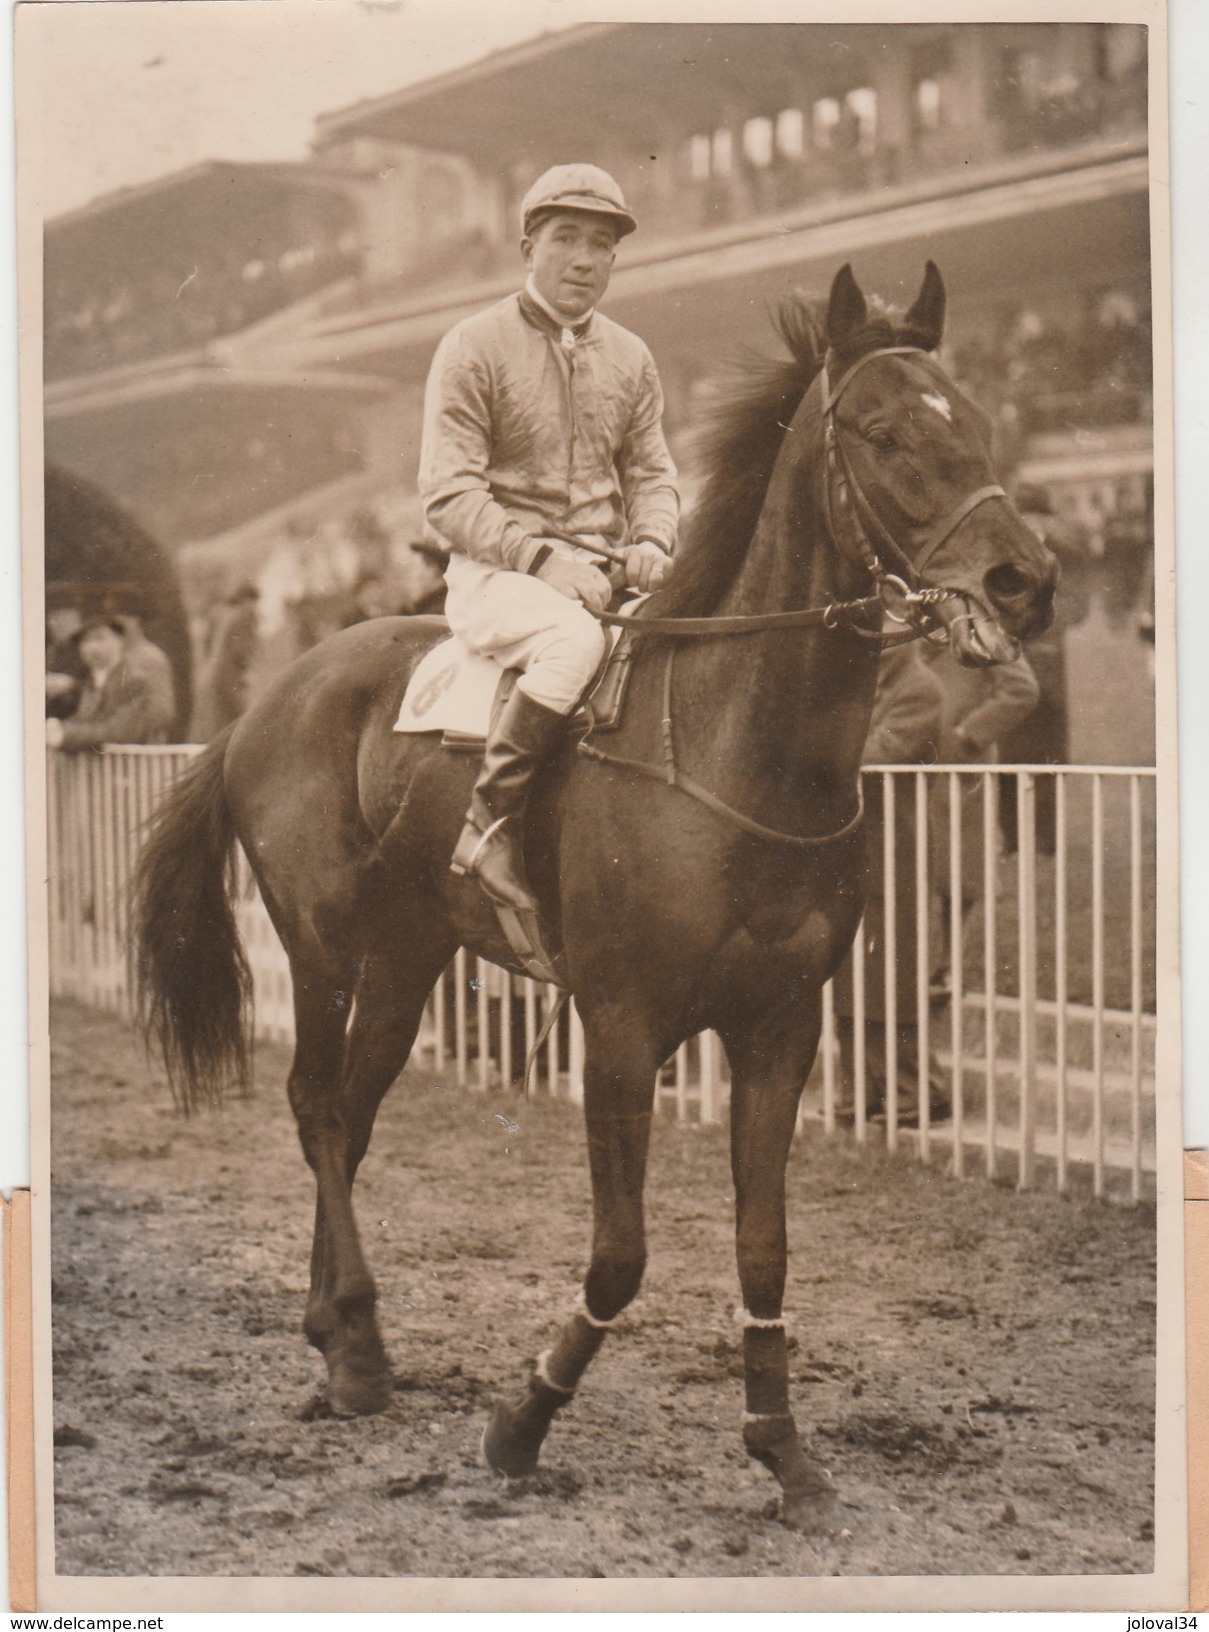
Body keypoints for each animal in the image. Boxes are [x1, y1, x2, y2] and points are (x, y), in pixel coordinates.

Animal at [137, 264, 1050, 1527]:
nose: (1026, 581)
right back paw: (359, 1347)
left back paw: (333, 1332)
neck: (735, 751)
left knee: (353, 1114)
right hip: (321, 943)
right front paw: (521, 1424)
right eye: (882, 431)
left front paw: (783, 1447)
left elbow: (764, 1247)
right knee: (318, 1105)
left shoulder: (781, 1028)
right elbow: (621, 1257)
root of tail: (270, 693)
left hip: (407, 955)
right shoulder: (622, 1029)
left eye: (972, 414)